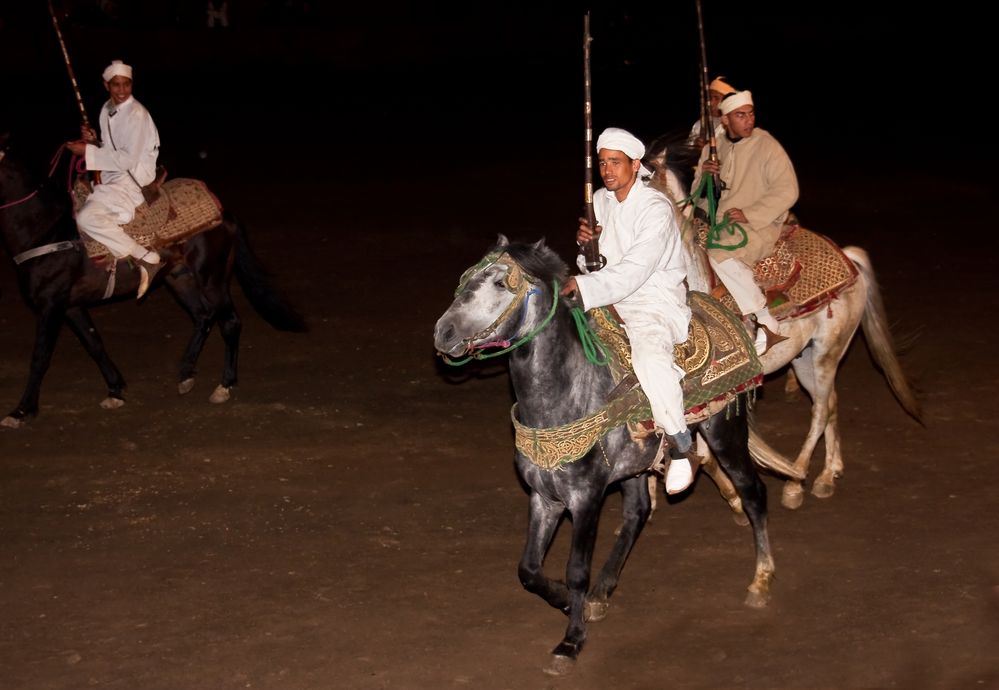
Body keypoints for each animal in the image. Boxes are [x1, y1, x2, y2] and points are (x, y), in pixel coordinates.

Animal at [0, 132, 304, 424]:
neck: (47, 232)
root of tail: (224, 214)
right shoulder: (71, 306)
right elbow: (94, 343)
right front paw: (115, 390)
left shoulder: (50, 306)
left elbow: (40, 358)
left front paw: (21, 411)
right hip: (180, 279)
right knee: (203, 316)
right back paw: (186, 373)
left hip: (212, 279)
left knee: (229, 321)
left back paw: (224, 385)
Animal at [434, 235, 776, 672]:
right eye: (468, 277)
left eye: (499, 283)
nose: (443, 332)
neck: (566, 394)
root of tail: (729, 314)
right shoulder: (544, 497)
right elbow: (528, 568)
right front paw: (565, 600)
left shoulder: (586, 498)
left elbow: (577, 569)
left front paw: (571, 640)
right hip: (635, 466)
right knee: (638, 513)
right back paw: (602, 592)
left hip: (724, 432)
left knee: (753, 493)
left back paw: (761, 582)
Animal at [648, 137, 920, 508]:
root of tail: (848, 258)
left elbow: (700, 453)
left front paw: (734, 498)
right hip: (806, 358)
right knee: (830, 403)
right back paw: (829, 473)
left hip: (826, 355)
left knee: (820, 411)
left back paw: (797, 480)